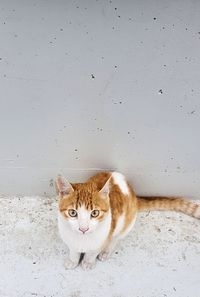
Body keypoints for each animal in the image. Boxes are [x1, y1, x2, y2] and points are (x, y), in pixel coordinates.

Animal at [55, 170, 200, 270]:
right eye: (73, 213)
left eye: (95, 213)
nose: (83, 229)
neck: (82, 240)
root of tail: (135, 196)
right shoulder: (70, 241)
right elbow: (73, 251)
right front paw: (73, 261)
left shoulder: (103, 238)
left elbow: (92, 252)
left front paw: (87, 262)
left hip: (125, 225)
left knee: (115, 239)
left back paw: (106, 252)